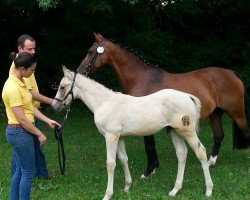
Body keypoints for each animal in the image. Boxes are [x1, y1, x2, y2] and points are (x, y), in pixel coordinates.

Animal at [52, 67, 213, 200]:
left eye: (62, 87)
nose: (54, 107)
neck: (105, 103)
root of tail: (187, 96)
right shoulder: (120, 137)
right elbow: (123, 159)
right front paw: (127, 187)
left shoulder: (111, 137)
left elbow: (111, 164)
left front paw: (107, 195)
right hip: (174, 131)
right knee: (182, 154)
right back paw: (175, 190)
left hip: (187, 131)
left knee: (201, 152)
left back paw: (208, 190)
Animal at [76, 32, 250, 178]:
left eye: (91, 51)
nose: (79, 72)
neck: (141, 78)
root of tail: (232, 73)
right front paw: (153, 168)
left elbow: (149, 145)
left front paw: (148, 171)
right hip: (216, 113)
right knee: (219, 135)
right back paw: (210, 162)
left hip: (237, 113)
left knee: (246, 133)